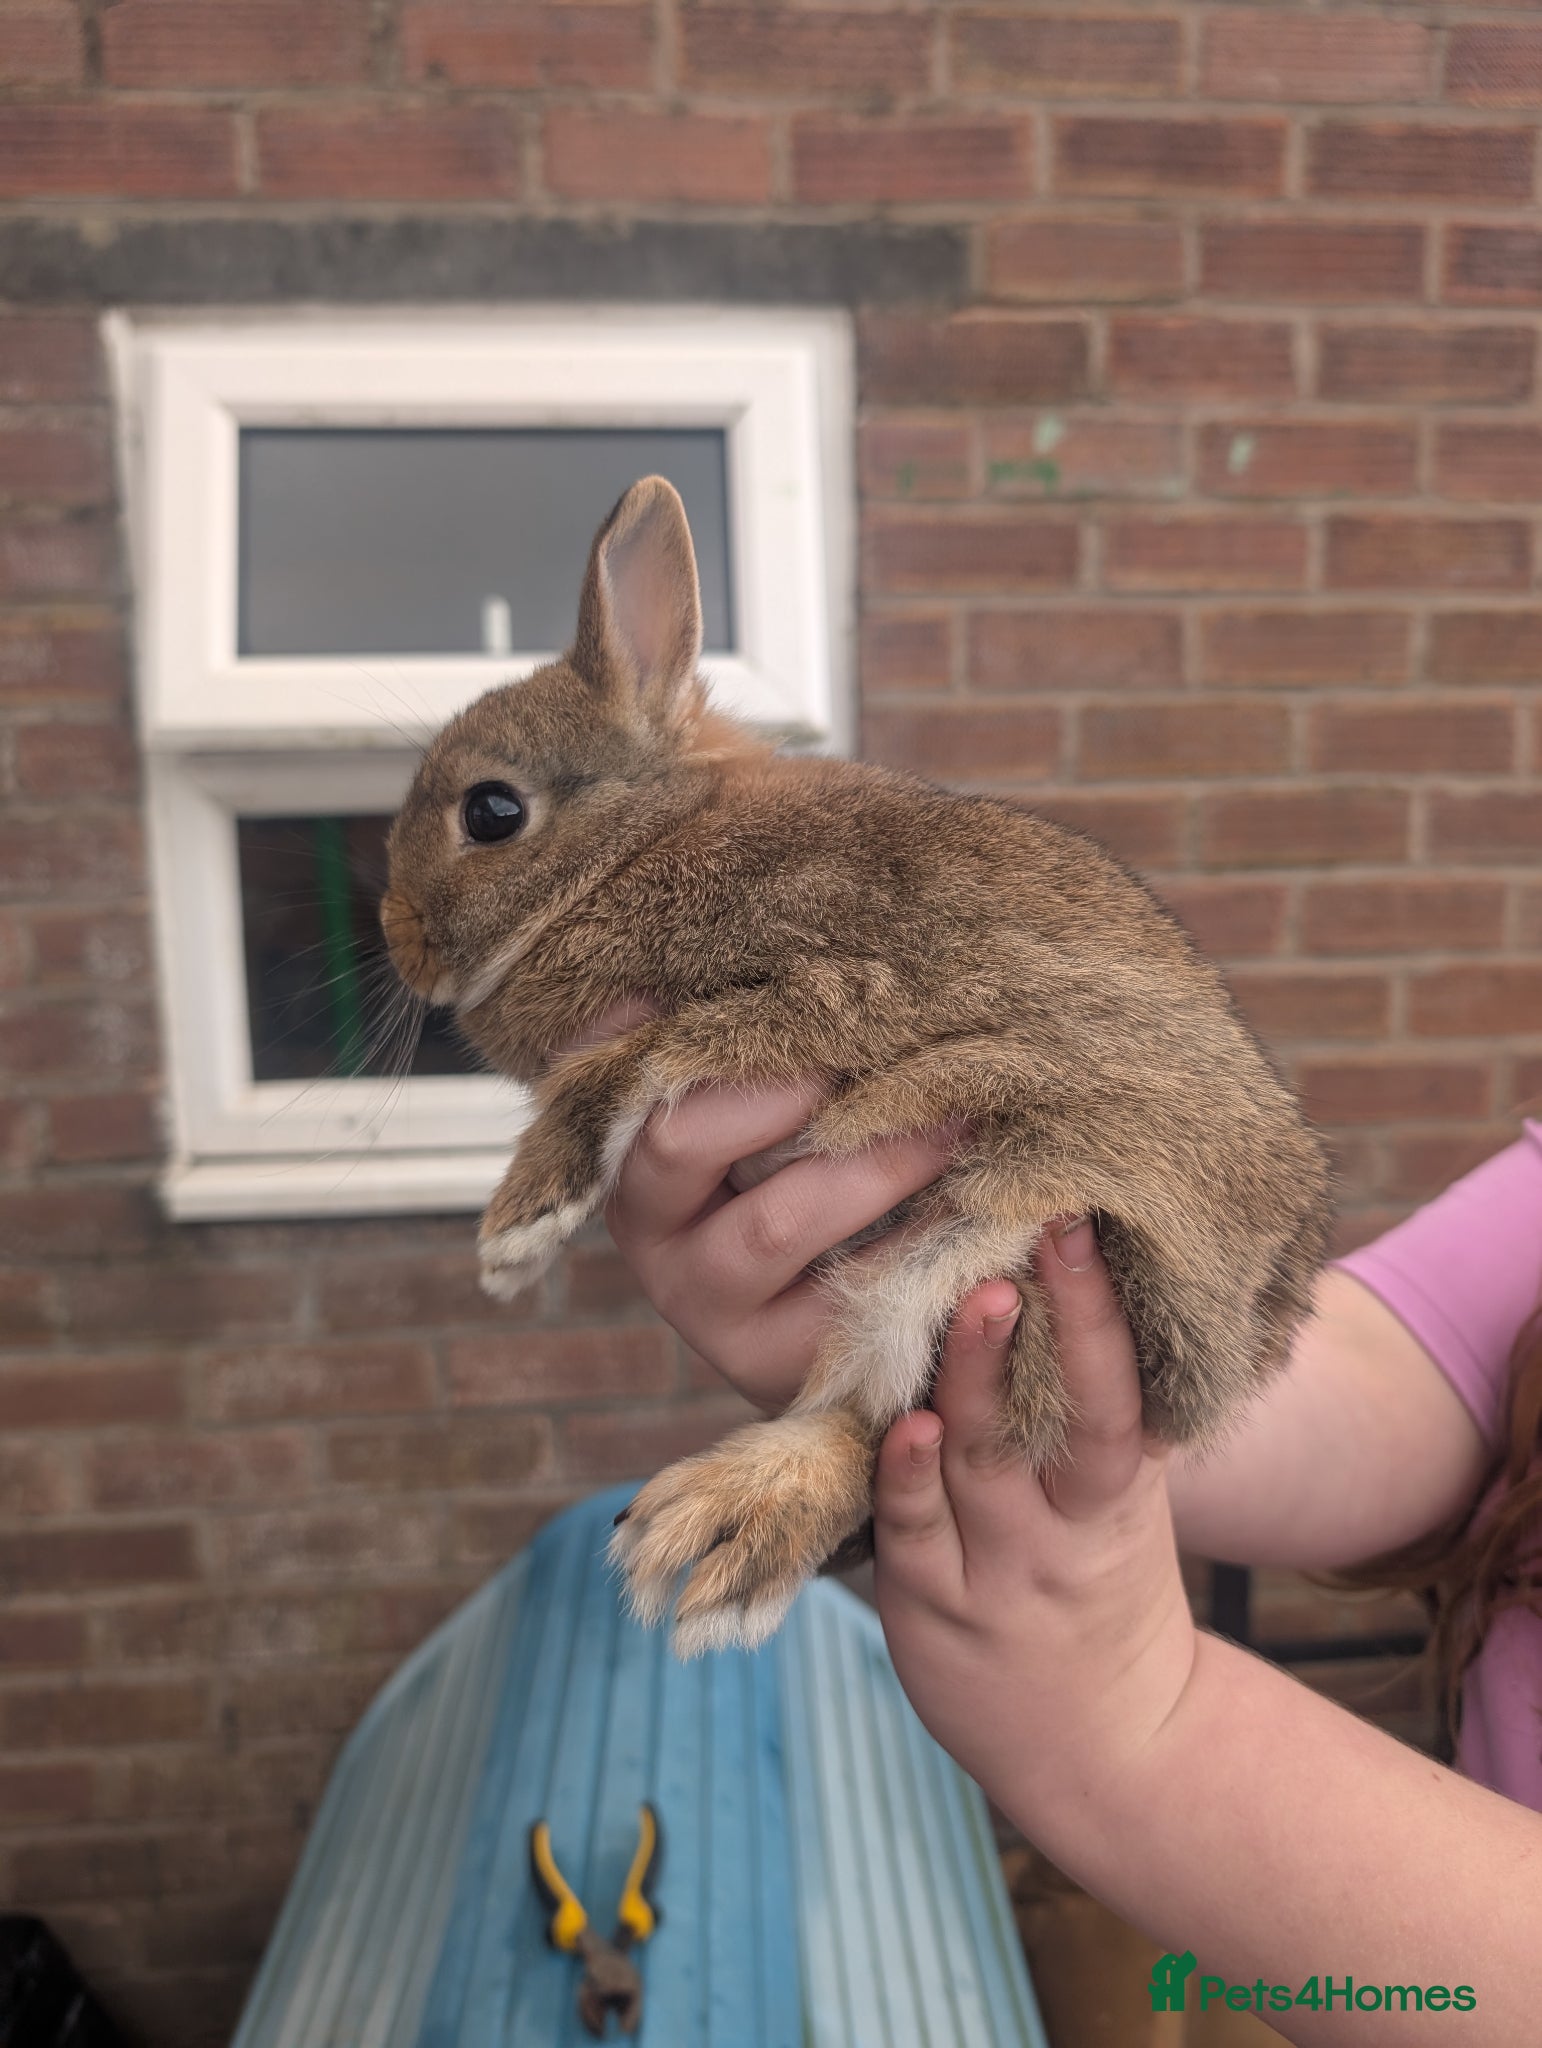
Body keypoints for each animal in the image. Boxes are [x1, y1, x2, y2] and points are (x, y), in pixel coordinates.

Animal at [382, 475, 1332, 1659]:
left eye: (492, 811)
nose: (392, 933)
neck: (635, 849)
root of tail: (1233, 1366)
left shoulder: (833, 992)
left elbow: (620, 1066)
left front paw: (517, 1230)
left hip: (1006, 1215)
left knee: (878, 1410)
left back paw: (730, 1519)